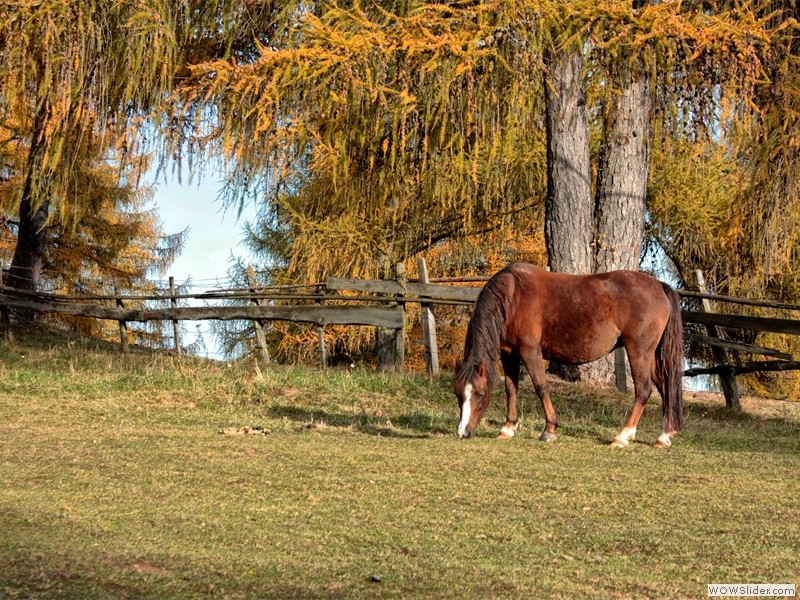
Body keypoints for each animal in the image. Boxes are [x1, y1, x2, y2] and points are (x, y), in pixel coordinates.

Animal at [454, 262, 684, 446]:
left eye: (479, 394)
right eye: (458, 394)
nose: (463, 432)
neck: (513, 296)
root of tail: (659, 285)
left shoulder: (530, 351)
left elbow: (541, 387)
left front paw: (549, 430)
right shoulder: (508, 353)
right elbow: (511, 388)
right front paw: (507, 428)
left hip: (638, 350)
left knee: (644, 390)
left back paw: (623, 436)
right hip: (649, 354)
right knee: (664, 386)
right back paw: (664, 436)